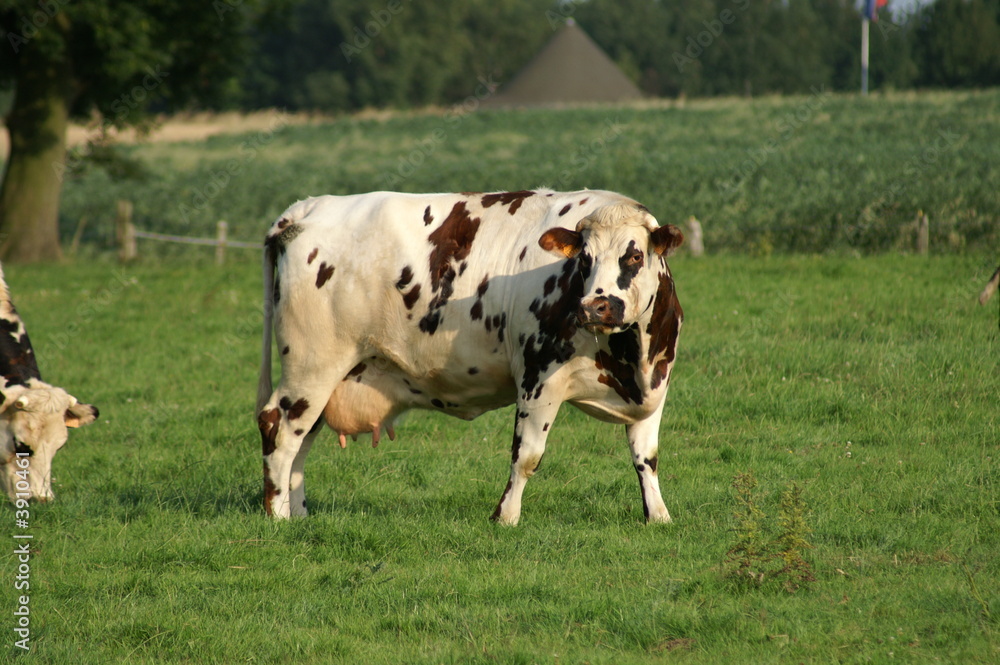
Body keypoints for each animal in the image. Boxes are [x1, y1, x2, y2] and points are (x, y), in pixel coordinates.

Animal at [254, 188, 684, 524]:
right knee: (279, 429)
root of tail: (307, 209)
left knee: (302, 440)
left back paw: (299, 514)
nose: (594, 307)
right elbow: (527, 455)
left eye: (633, 256)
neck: (633, 360)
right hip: (310, 366)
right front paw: (505, 517)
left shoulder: (656, 386)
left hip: (326, 376)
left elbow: (647, 457)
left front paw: (658, 515)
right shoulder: (538, 378)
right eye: (584, 259)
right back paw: (278, 517)